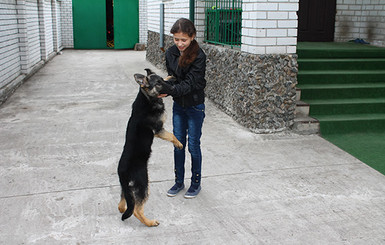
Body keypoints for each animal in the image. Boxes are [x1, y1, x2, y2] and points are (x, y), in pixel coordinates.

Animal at [116, 68, 181, 227]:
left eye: (162, 79)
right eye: (158, 83)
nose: (173, 88)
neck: (146, 98)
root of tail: (122, 171)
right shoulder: (159, 129)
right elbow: (172, 135)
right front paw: (179, 144)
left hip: (127, 188)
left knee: (123, 203)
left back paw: (123, 209)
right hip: (143, 183)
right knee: (137, 210)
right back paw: (150, 222)